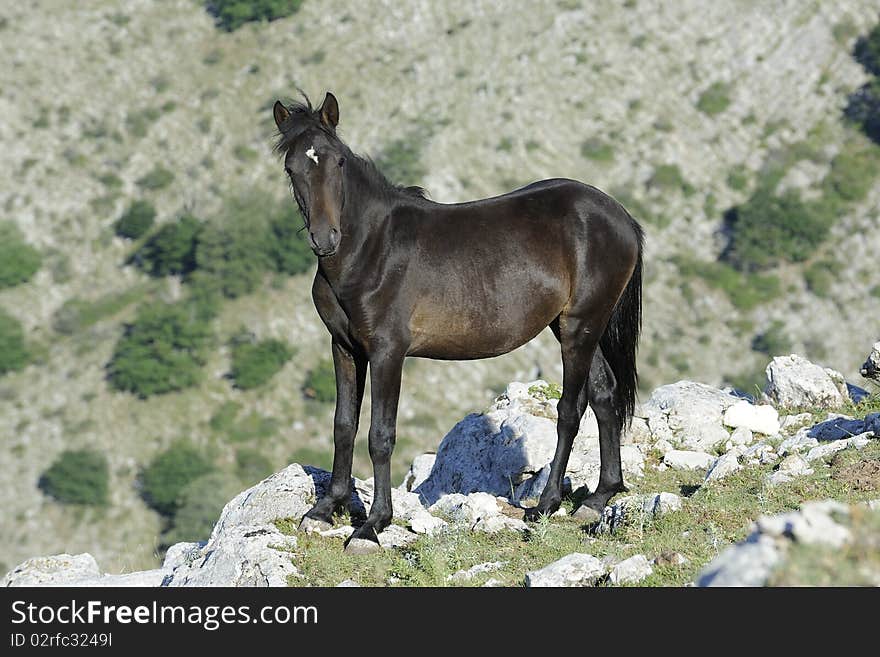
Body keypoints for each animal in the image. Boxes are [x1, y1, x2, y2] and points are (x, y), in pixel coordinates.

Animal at [272, 93, 644, 552]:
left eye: (338, 161)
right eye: (292, 167)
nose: (326, 239)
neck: (371, 248)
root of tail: (620, 216)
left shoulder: (387, 352)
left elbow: (380, 435)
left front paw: (373, 524)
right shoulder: (343, 348)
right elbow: (343, 425)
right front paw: (326, 510)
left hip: (581, 326)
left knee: (571, 410)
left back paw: (546, 503)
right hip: (575, 326)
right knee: (605, 395)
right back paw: (599, 497)